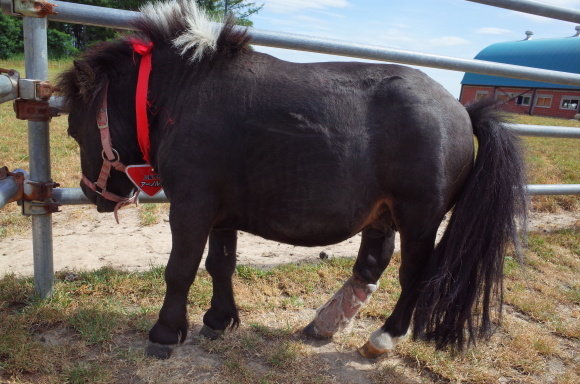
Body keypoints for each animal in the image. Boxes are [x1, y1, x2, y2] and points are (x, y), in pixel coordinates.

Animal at [57, 0, 524, 360]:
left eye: (75, 130)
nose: (94, 196)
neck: (187, 92)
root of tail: (463, 111)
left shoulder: (191, 205)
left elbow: (180, 270)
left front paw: (166, 333)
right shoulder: (220, 212)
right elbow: (220, 264)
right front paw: (218, 320)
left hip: (420, 217)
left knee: (414, 275)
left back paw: (384, 338)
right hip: (383, 213)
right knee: (372, 262)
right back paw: (325, 324)